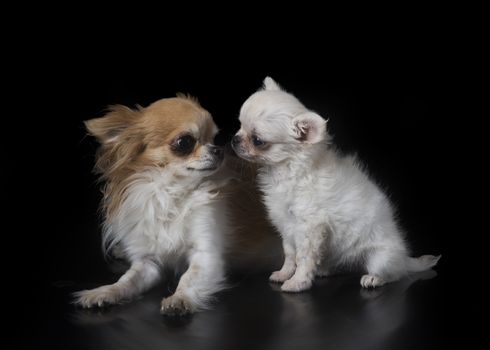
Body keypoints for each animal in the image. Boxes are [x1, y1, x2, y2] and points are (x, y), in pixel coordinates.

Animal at [232, 77, 442, 292]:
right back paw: (325, 270)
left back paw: (374, 278)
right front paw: (284, 274)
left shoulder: (309, 229)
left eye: (258, 140)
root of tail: (404, 258)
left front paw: (297, 282)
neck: (286, 170)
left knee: (394, 274)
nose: (235, 139)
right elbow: (290, 255)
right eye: (239, 125)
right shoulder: (287, 228)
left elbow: (303, 259)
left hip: (381, 258)